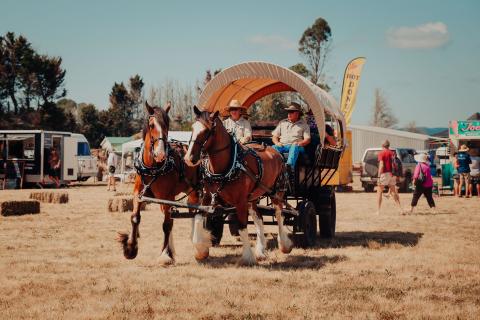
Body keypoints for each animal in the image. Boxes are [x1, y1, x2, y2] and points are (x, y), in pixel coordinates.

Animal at [117, 101, 208, 264]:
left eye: (167, 124)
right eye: (151, 125)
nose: (160, 154)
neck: (153, 167)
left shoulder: (167, 197)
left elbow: (166, 225)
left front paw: (164, 255)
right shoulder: (139, 194)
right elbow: (135, 218)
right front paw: (130, 249)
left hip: (194, 192)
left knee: (194, 214)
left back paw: (198, 247)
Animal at [184, 106, 292, 264]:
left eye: (206, 131)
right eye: (193, 127)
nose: (189, 158)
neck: (227, 167)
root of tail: (274, 150)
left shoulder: (240, 201)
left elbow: (242, 227)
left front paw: (247, 257)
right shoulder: (207, 197)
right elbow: (198, 218)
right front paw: (201, 251)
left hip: (277, 192)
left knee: (279, 215)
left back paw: (284, 245)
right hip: (253, 197)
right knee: (259, 218)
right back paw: (260, 251)